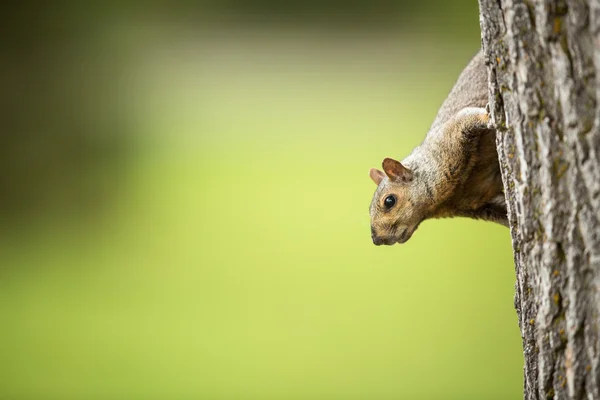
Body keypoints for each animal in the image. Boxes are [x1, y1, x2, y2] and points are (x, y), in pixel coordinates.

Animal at [370, 51, 506, 245]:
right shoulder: (478, 203)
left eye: (389, 201)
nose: (376, 240)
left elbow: (468, 117)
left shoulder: (451, 137)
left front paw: (490, 117)